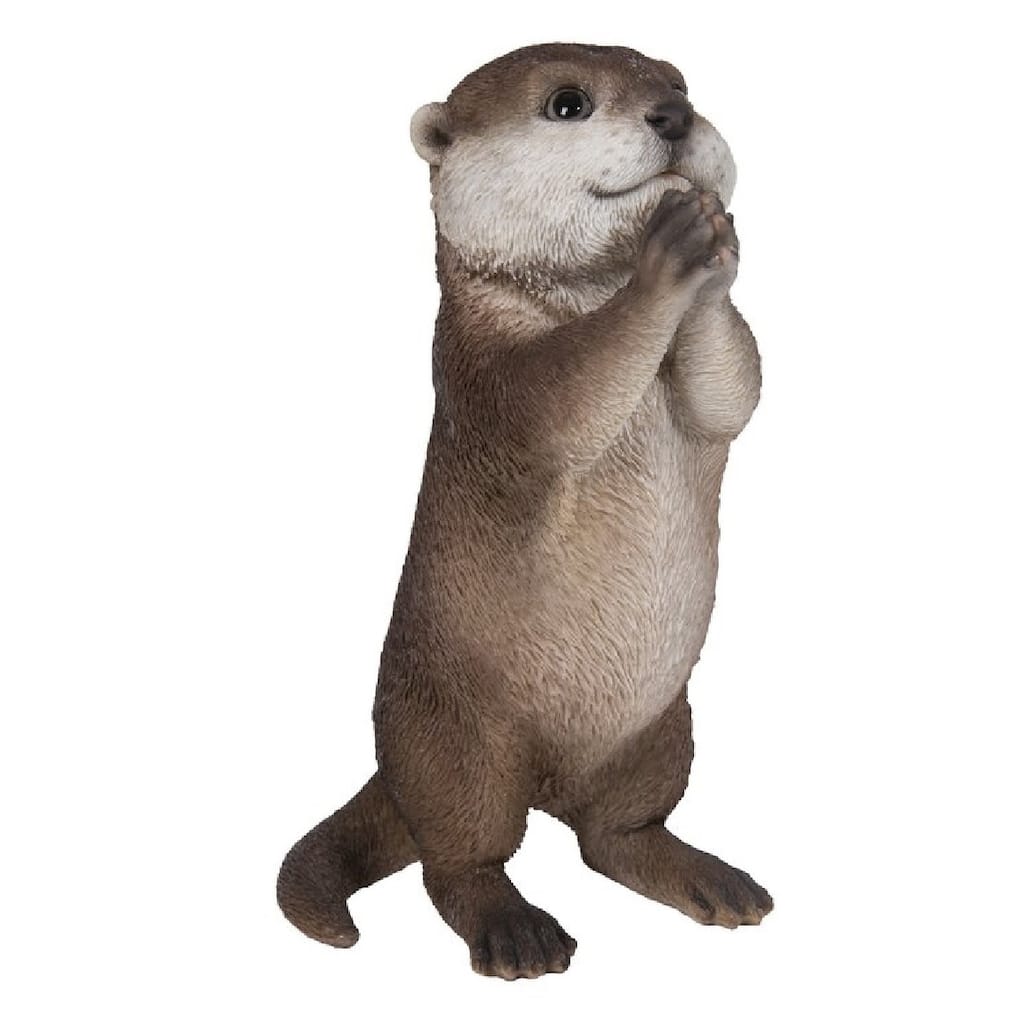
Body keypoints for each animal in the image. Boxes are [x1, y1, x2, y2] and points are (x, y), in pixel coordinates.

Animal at [277, 42, 771, 980]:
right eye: (568, 103)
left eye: (679, 82)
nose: (674, 116)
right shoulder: (487, 375)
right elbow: (567, 391)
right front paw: (671, 252)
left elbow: (733, 391)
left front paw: (717, 233)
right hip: (458, 739)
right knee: (459, 855)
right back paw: (515, 933)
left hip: (663, 731)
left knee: (613, 834)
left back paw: (709, 881)